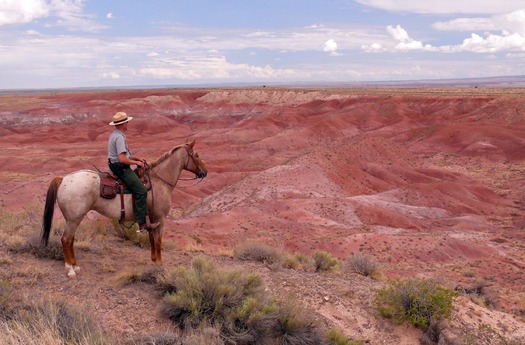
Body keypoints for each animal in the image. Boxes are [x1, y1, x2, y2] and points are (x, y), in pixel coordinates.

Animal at [40, 140, 207, 276]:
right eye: (197, 155)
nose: (205, 172)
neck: (159, 182)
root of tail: (63, 179)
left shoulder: (151, 220)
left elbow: (152, 240)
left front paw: (154, 261)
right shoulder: (159, 219)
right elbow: (158, 242)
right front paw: (160, 265)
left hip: (74, 219)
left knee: (71, 240)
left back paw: (76, 266)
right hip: (74, 219)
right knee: (66, 240)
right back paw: (70, 270)